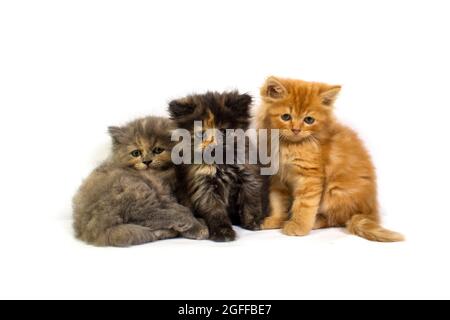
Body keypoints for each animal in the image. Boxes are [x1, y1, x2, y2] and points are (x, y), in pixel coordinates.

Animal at [73, 116, 208, 246]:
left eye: (158, 150)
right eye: (136, 153)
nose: (147, 161)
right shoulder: (164, 195)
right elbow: (182, 209)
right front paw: (197, 227)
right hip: (135, 189)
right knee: (144, 214)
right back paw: (181, 221)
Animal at [171, 91, 266, 241]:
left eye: (223, 131)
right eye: (201, 134)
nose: (213, 147)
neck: (221, 164)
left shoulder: (248, 176)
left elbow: (251, 201)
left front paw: (253, 222)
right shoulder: (204, 187)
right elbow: (216, 212)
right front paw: (223, 232)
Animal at [256, 77, 404, 242]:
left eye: (309, 120)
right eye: (286, 117)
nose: (296, 130)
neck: (288, 145)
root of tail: (370, 211)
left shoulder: (310, 177)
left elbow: (304, 205)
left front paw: (299, 226)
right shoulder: (277, 177)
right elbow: (278, 201)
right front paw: (276, 220)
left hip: (335, 191)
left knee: (338, 219)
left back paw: (315, 221)